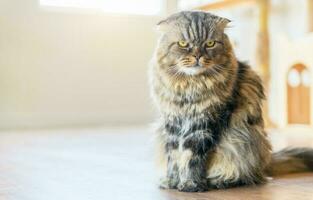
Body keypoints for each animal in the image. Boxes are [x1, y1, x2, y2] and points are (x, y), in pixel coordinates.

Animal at [148, 10, 312, 192]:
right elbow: (175, 155)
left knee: (248, 176)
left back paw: (219, 181)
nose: (197, 56)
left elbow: (192, 156)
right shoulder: (173, 122)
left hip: (242, 140)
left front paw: (191, 183)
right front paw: (172, 181)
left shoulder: (205, 122)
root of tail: (266, 160)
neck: (191, 86)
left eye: (210, 43)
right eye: (183, 44)